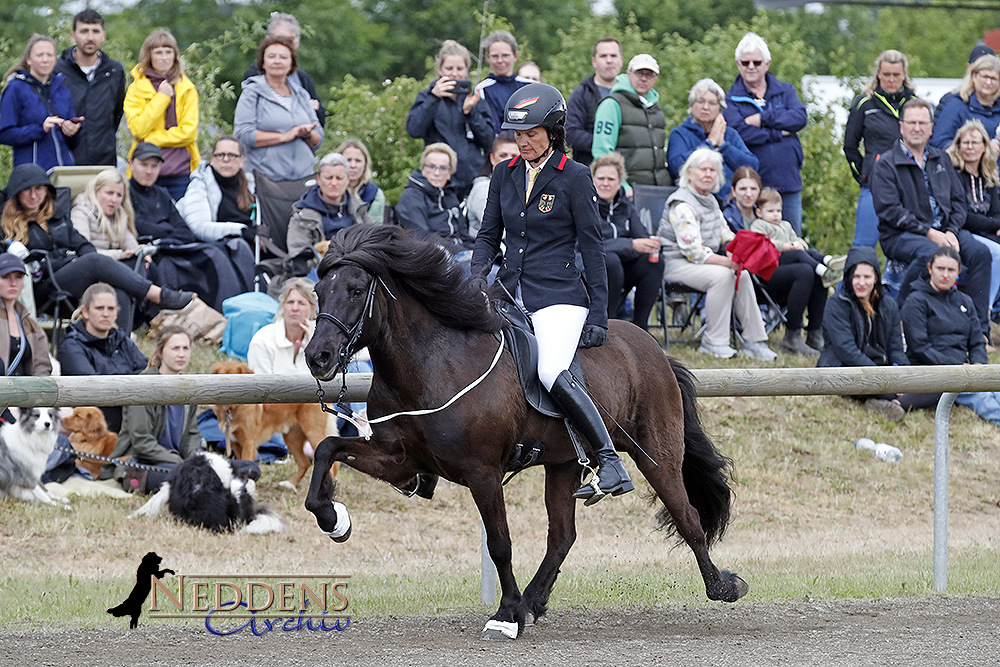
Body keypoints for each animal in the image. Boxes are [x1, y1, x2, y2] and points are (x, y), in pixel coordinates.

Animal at [209, 362, 338, 488]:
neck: (232, 409)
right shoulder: (235, 442)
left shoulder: (248, 443)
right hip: (292, 439)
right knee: (304, 463)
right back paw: (290, 484)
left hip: (314, 435)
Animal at [304, 226, 752, 640]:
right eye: (318, 291)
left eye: (356, 290)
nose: (317, 357)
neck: (432, 363)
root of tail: (653, 346)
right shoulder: (399, 460)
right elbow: (327, 450)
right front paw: (334, 519)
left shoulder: (482, 473)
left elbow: (500, 544)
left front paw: (504, 614)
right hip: (565, 464)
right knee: (563, 536)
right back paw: (533, 603)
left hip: (656, 455)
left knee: (687, 517)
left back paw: (723, 586)